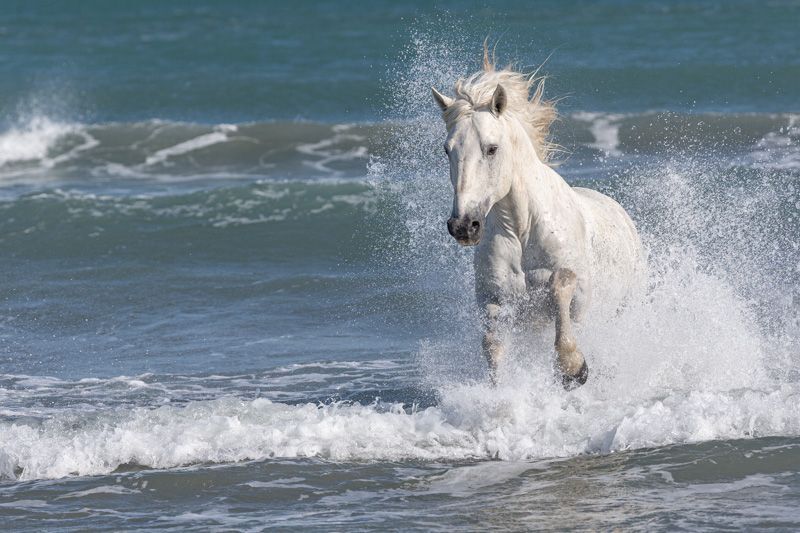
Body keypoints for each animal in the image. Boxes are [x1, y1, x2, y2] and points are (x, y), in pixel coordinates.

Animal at [432, 49, 645, 389]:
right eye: (446, 150)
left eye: (491, 148)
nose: (464, 226)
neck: (523, 228)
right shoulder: (495, 301)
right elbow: (492, 344)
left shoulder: (580, 298)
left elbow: (561, 287)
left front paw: (573, 368)